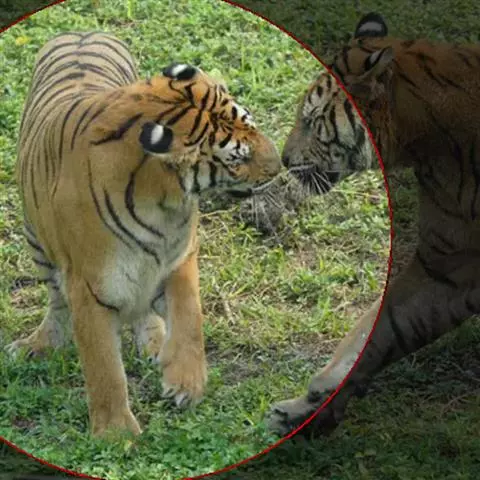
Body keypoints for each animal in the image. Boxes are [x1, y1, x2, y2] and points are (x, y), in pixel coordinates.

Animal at [5, 31, 281, 438]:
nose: (281, 166)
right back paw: (38, 344)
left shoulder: (179, 256)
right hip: (37, 240)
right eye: (237, 158)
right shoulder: (90, 287)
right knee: (57, 303)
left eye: (252, 123)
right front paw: (116, 435)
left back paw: (153, 341)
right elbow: (104, 366)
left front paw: (185, 383)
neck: (164, 201)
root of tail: (83, 32)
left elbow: (190, 318)